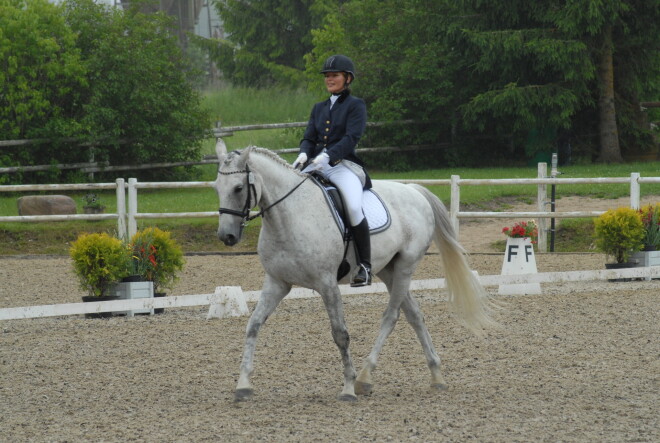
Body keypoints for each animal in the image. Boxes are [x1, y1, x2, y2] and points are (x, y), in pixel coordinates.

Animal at [215, 147, 496, 402]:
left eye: (238, 188)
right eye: (217, 187)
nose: (226, 237)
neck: (288, 217)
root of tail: (415, 191)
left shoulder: (327, 284)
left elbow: (340, 334)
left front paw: (348, 388)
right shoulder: (277, 283)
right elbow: (253, 325)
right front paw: (243, 385)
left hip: (406, 266)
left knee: (391, 316)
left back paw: (364, 377)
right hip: (389, 270)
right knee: (414, 315)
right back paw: (436, 375)